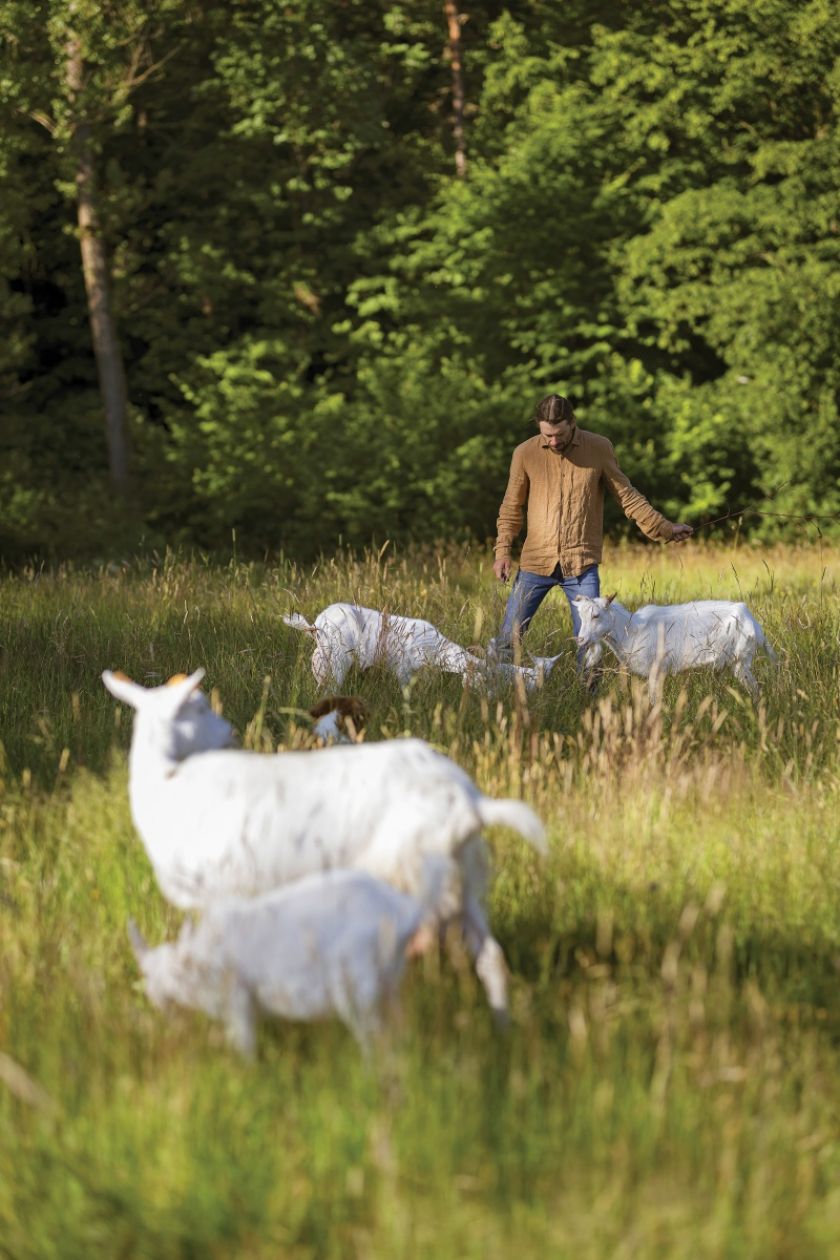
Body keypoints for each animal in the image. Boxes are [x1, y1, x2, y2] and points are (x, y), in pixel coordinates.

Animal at [128, 866, 443, 1053]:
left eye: (150, 977)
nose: (158, 1005)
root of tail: (404, 909)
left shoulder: (239, 1005)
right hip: (389, 987)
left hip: (356, 994)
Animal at [574, 589, 780, 700]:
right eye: (581, 616)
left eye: (596, 615)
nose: (581, 640)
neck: (630, 629)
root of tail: (753, 622)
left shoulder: (657, 667)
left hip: (741, 659)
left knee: (755, 688)